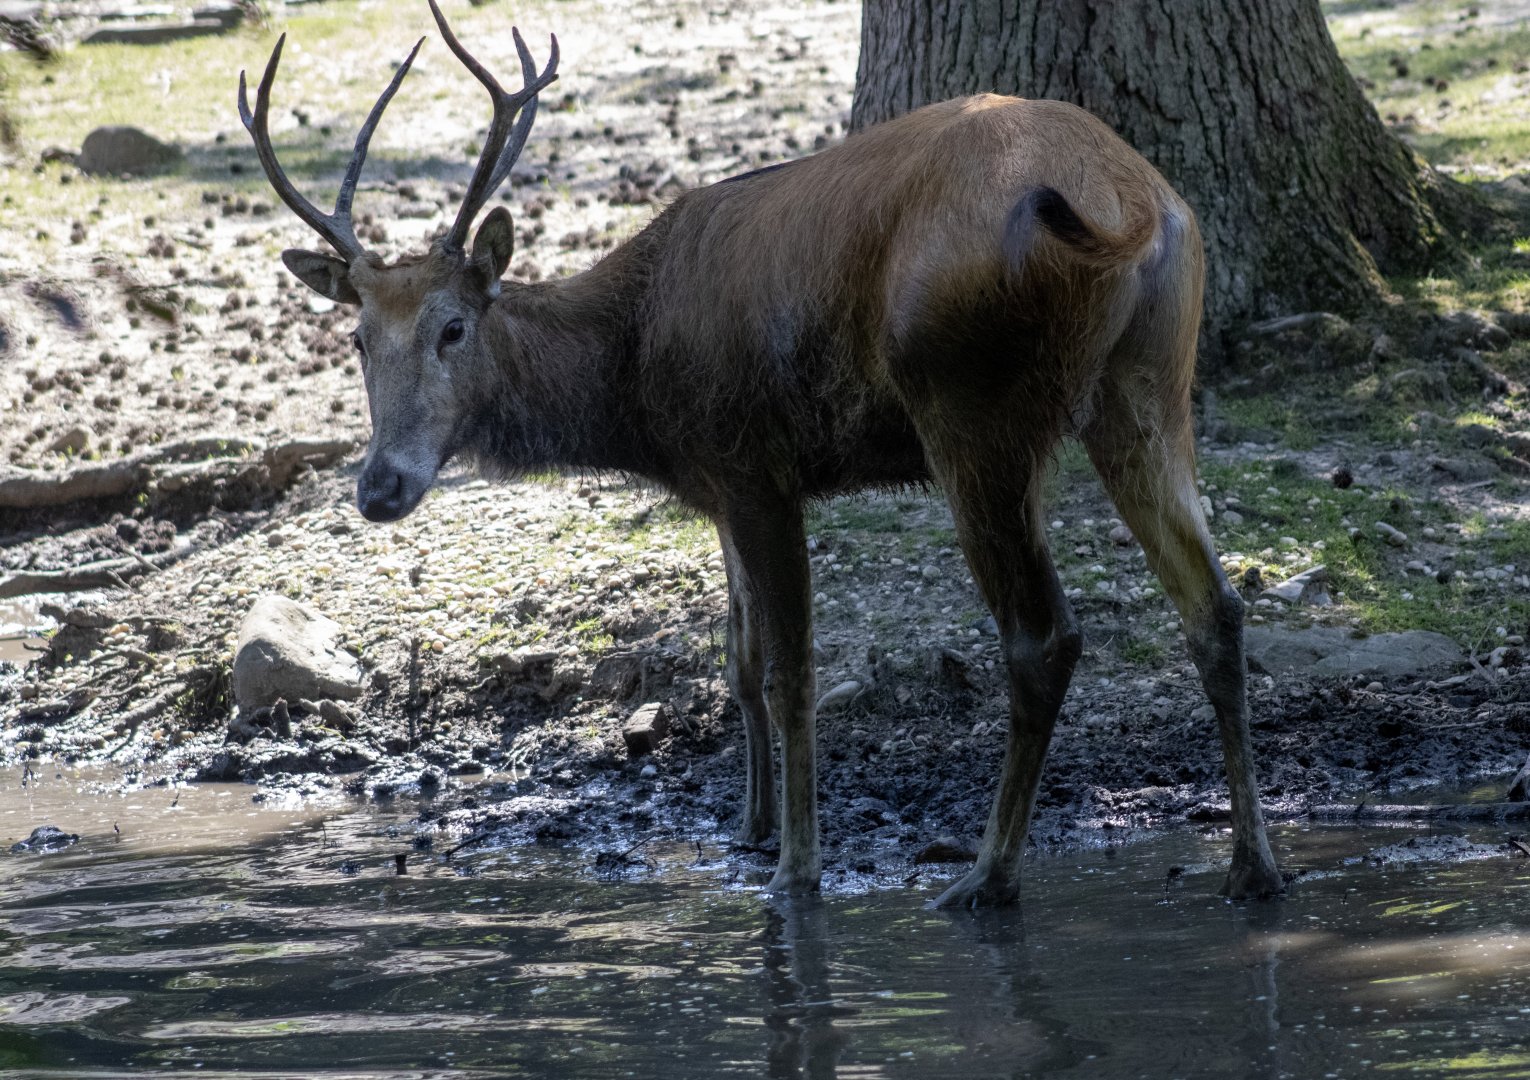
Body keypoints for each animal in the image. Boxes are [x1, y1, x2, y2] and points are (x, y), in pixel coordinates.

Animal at [239, 1, 1285, 908]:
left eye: (453, 327)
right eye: (358, 338)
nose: (380, 485)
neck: (638, 394)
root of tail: (1132, 205)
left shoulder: (754, 465)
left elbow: (789, 671)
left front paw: (796, 867)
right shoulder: (719, 484)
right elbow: (737, 657)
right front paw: (750, 828)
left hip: (972, 406)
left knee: (1045, 635)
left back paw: (988, 876)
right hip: (1149, 379)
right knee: (1215, 604)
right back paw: (1252, 865)